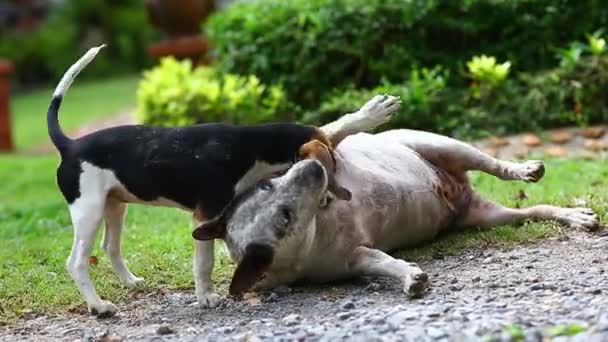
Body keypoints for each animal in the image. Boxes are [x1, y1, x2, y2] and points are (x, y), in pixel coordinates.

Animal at [47, 46, 400, 318]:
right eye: (334, 168)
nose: (330, 196)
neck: (250, 147)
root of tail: (70, 145)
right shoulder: (206, 215)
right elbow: (204, 261)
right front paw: (205, 297)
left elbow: (332, 127)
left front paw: (369, 113)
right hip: (88, 209)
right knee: (76, 262)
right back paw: (98, 306)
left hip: (115, 205)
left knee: (110, 246)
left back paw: (130, 282)